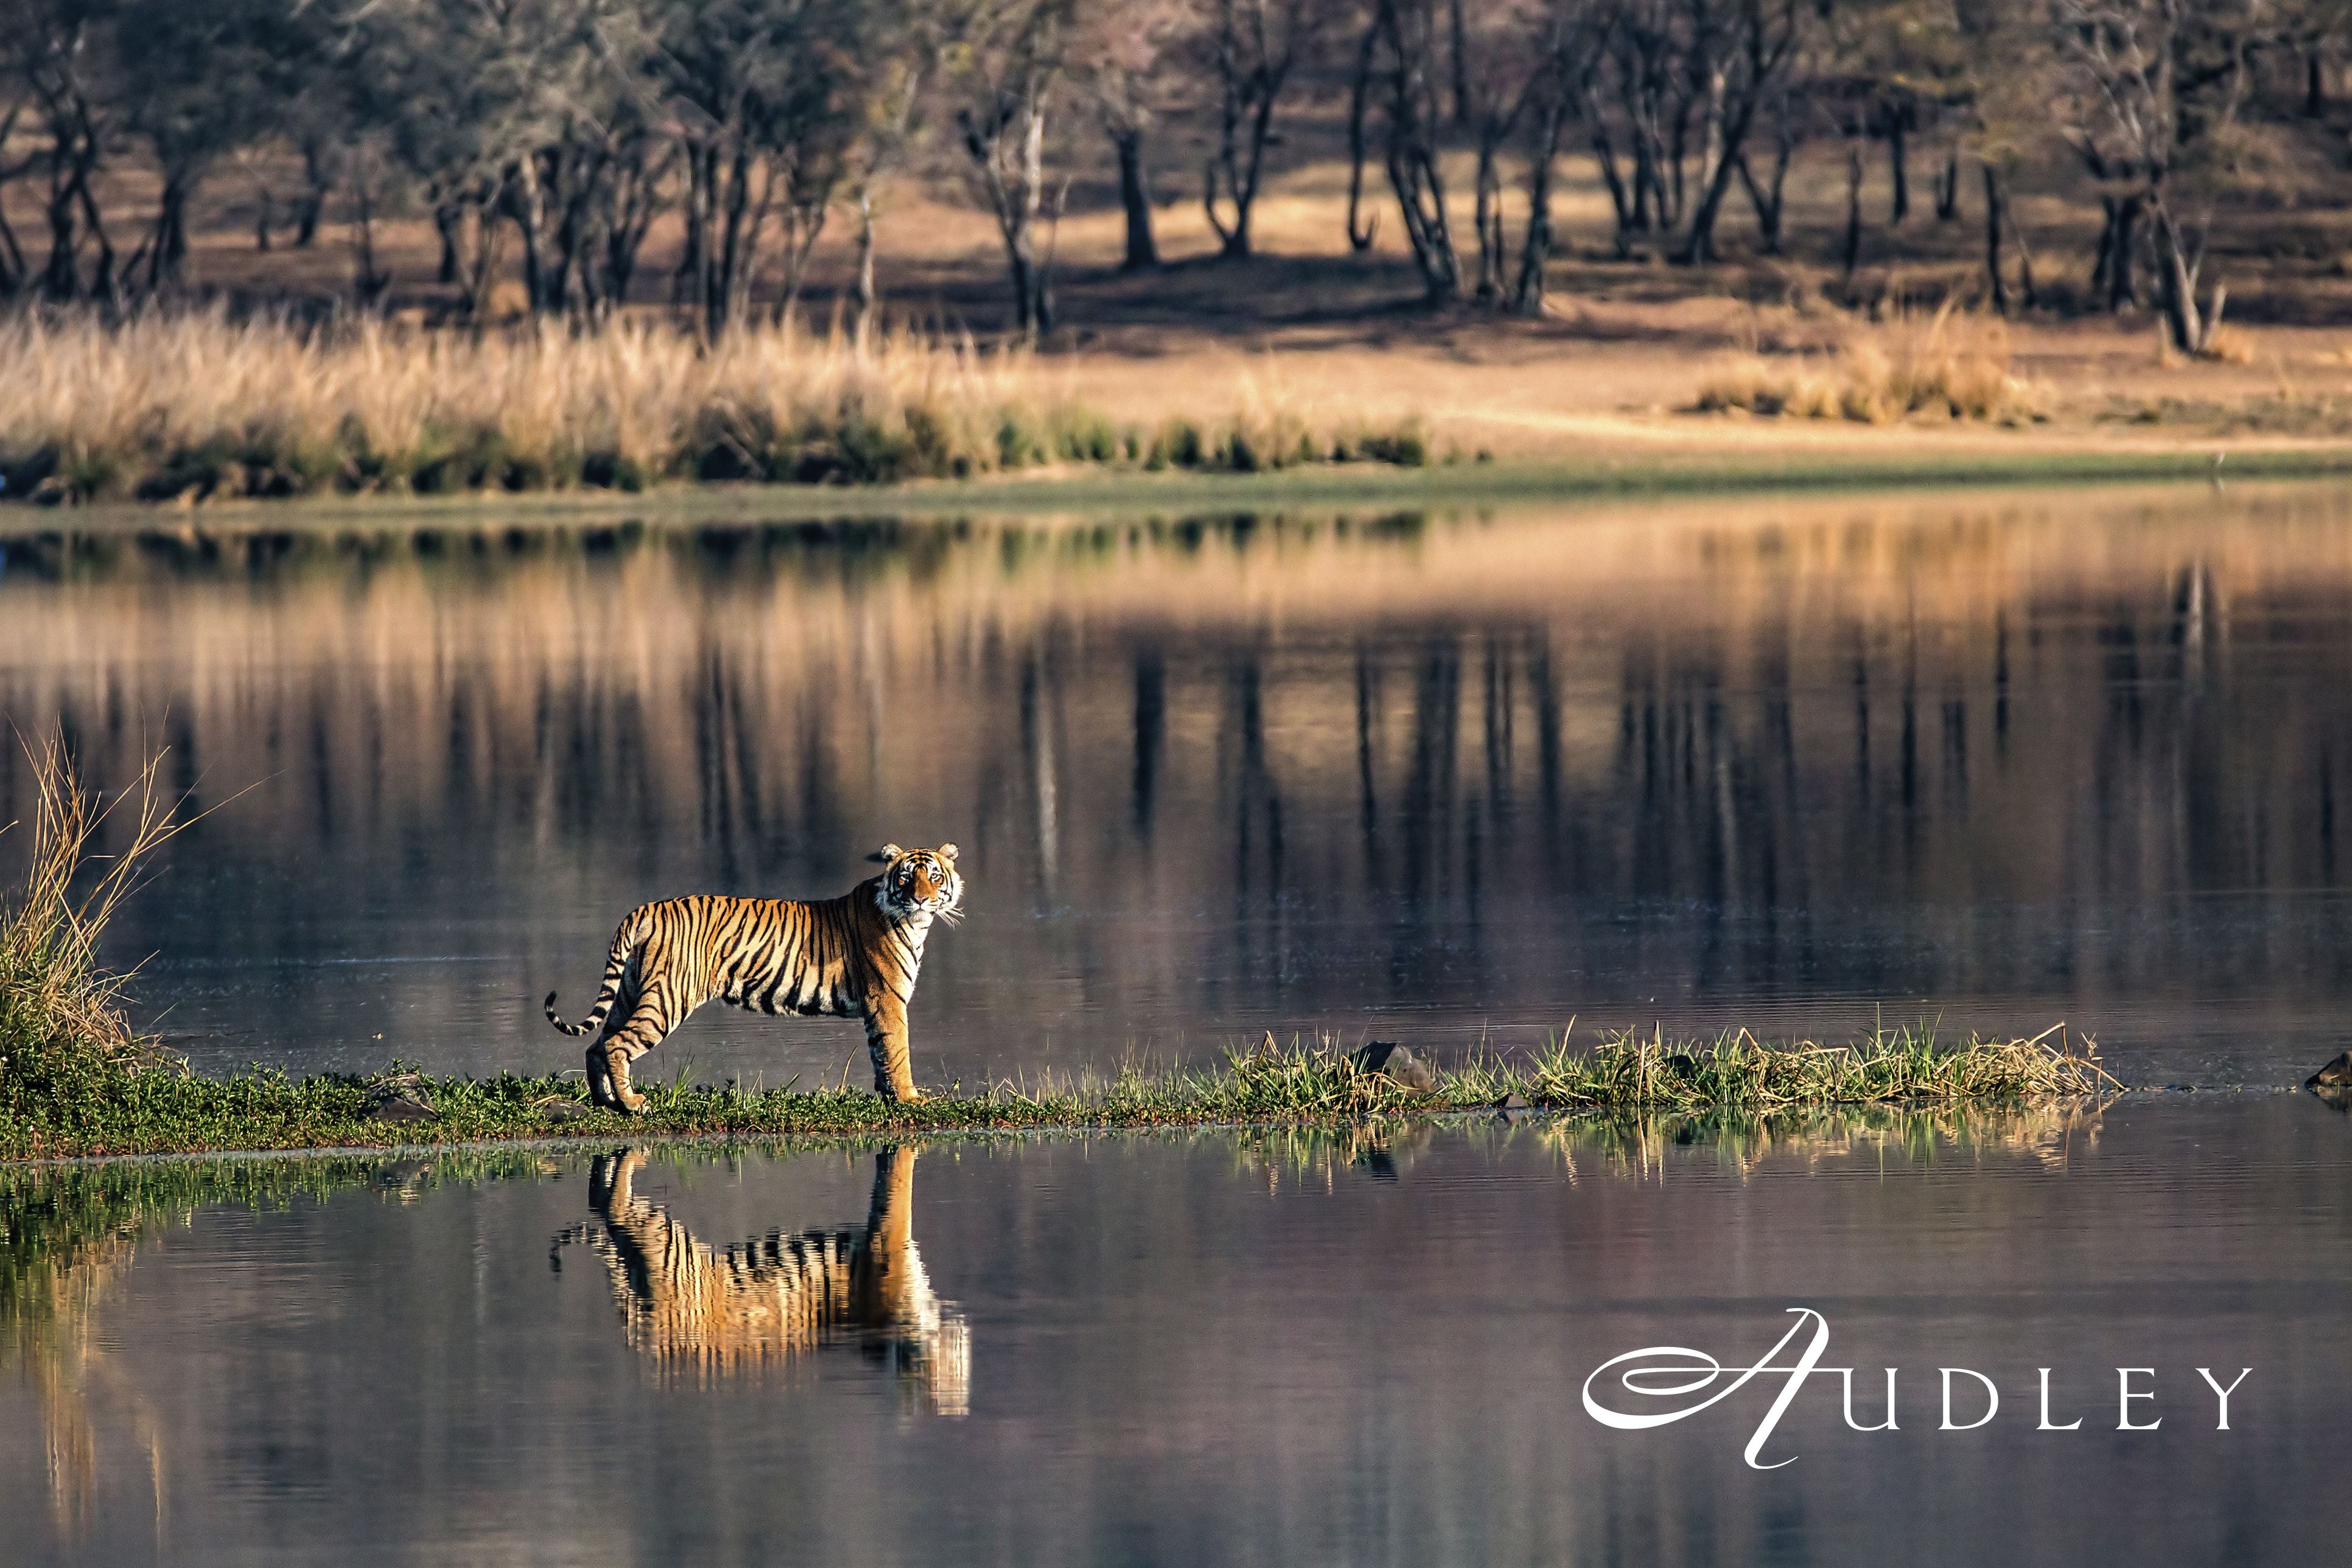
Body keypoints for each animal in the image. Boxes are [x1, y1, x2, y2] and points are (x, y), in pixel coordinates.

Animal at [544, 842, 963, 1112]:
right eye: (906, 879)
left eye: (934, 877)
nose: (921, 899)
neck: (916, 925)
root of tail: (645, 909)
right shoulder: (888, 999)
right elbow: (897, 1050)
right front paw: (910, 1098)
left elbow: (880, 1053)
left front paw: (890, 1096)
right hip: (667, 998)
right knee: (617, 1044)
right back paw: (632, 1103)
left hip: (631, 992)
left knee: (597, 1045)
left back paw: (606, 1102)